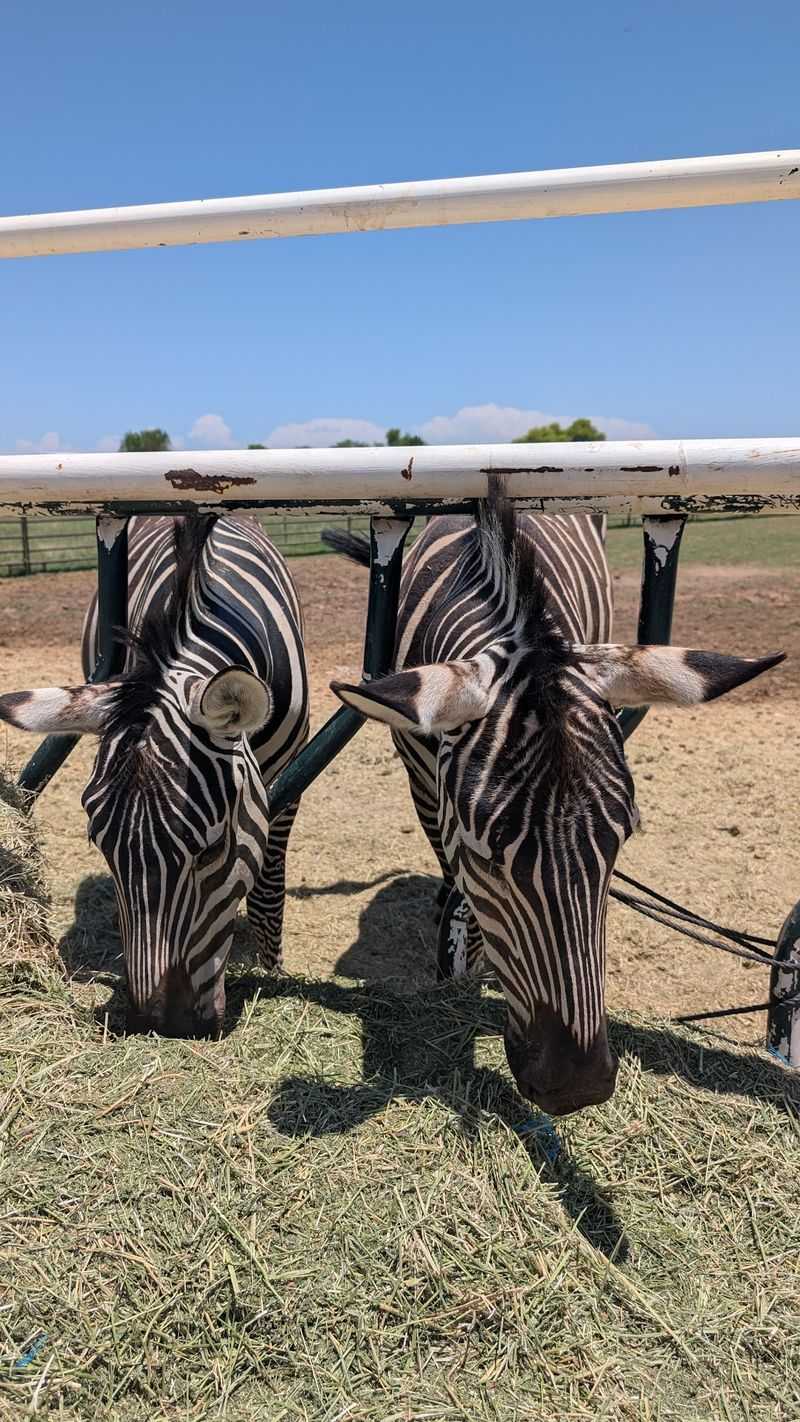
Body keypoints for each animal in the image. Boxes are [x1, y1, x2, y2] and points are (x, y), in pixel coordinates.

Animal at [326, 484, 783, 1115]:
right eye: (484, 857)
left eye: (622, 841)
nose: (579, 1087)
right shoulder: (422, 779)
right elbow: (453, 880)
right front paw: (463, 962)